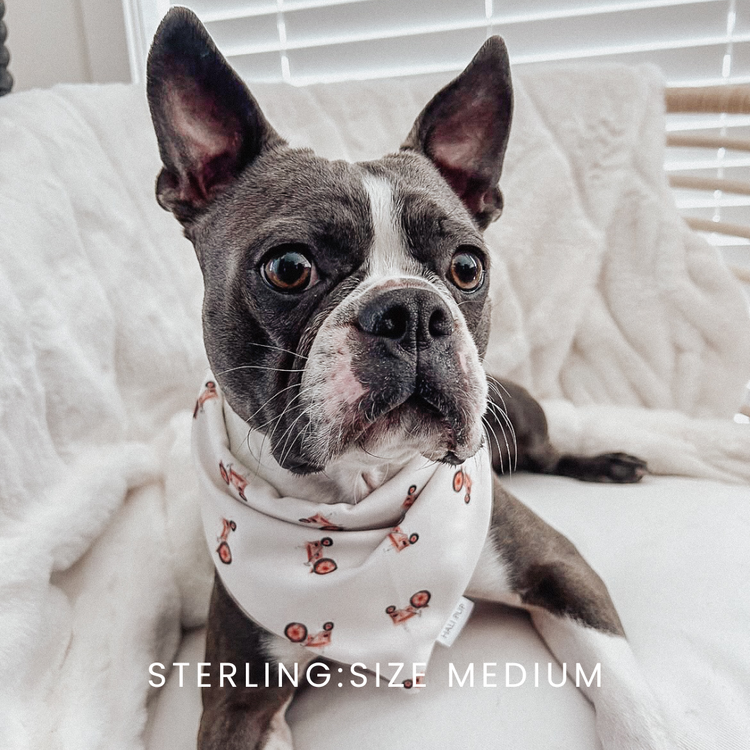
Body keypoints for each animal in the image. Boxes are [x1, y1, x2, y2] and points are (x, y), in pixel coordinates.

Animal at [145, 7, 676, 750]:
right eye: (288, 267)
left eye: (467, 267)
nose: (414, 311)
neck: (354, 509)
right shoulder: (238, 700)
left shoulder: (560, 569)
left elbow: (623, 692)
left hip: (522, 422)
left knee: (550, 453)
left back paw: (608, 463)